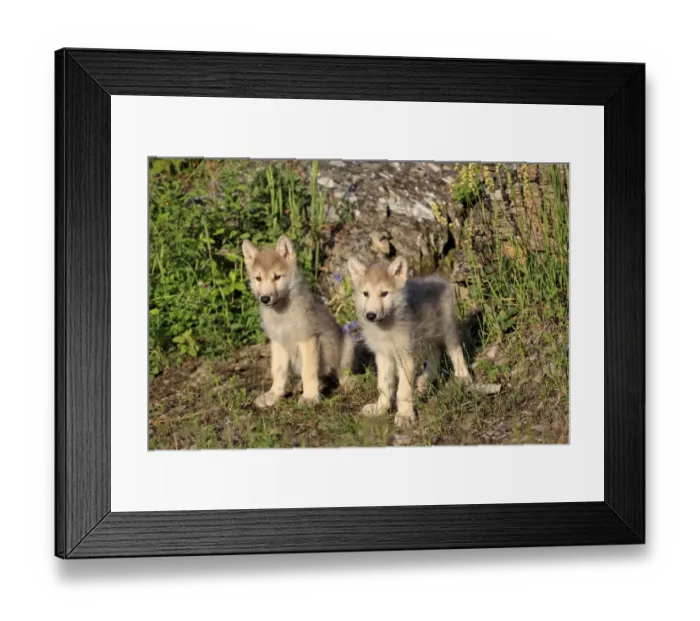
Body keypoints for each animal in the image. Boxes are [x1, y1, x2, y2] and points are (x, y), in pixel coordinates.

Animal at [242, 235, 355, 408]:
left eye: (277, 277)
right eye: (258, 278)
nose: (265, 298)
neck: (282, 315)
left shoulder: (308, 340)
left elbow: (308, 372)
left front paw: (309, 397)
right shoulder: (278, 343)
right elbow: (278, 371)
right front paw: (274, 395)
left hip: (347, 344)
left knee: (339, 372)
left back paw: (347, 382)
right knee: (323, 376)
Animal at [347, 255, 472, 427]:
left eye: (384, 293)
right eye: (365, 293)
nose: (370, 315)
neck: (386, 330)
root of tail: (438, 278)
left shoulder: (405, 356)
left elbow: (403, 391)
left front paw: (405, 415)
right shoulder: (383, 355)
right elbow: (384, 386)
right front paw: (380, 408)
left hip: (447, 331)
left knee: (455, 351)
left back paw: (463, 378)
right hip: (426, 338)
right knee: (435, 354)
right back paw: (424, 382)